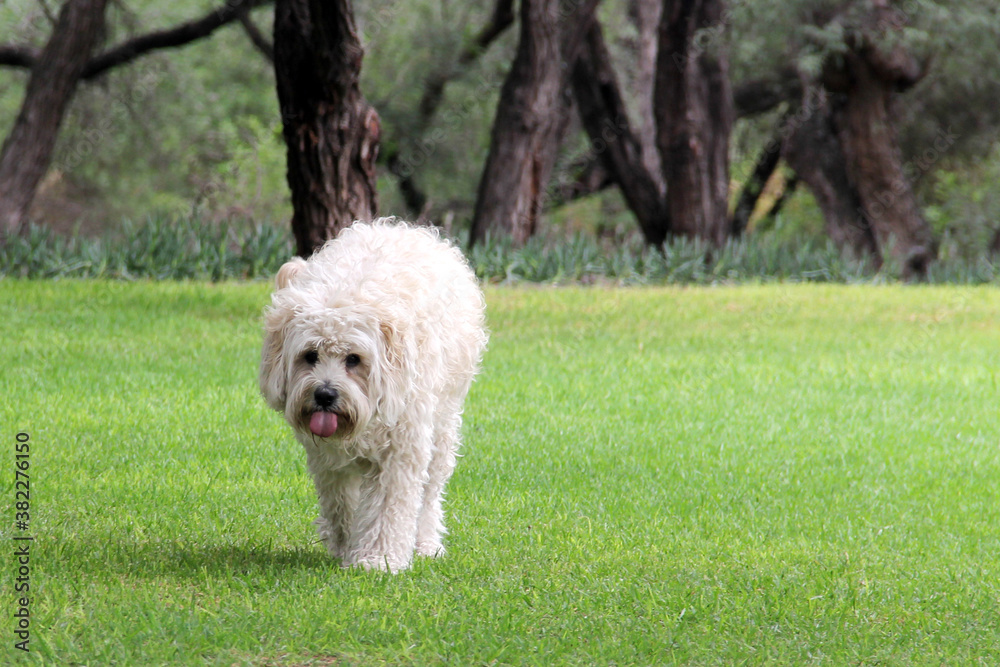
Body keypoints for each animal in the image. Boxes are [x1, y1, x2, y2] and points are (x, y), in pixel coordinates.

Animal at [258, 220, 488, 576]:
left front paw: (377, 560)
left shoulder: (400, 451)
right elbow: (341, 504)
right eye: (310, 356)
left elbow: (387, 509)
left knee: (430, 494)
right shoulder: (328, 461)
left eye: (353, 359)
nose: (325, 394)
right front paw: (346, 547)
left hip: (443, 425)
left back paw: (426, 543)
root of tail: (406, 228)